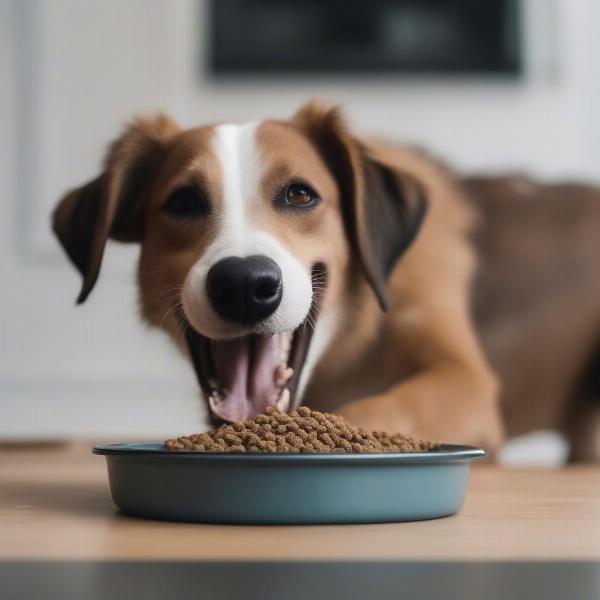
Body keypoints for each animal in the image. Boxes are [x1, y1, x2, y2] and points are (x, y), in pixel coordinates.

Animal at [51, 102, 600, 460]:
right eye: (182, 201)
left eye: (300, 194)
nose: (244, 285)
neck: (344, 351)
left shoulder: (468, 383)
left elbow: (383, 406)